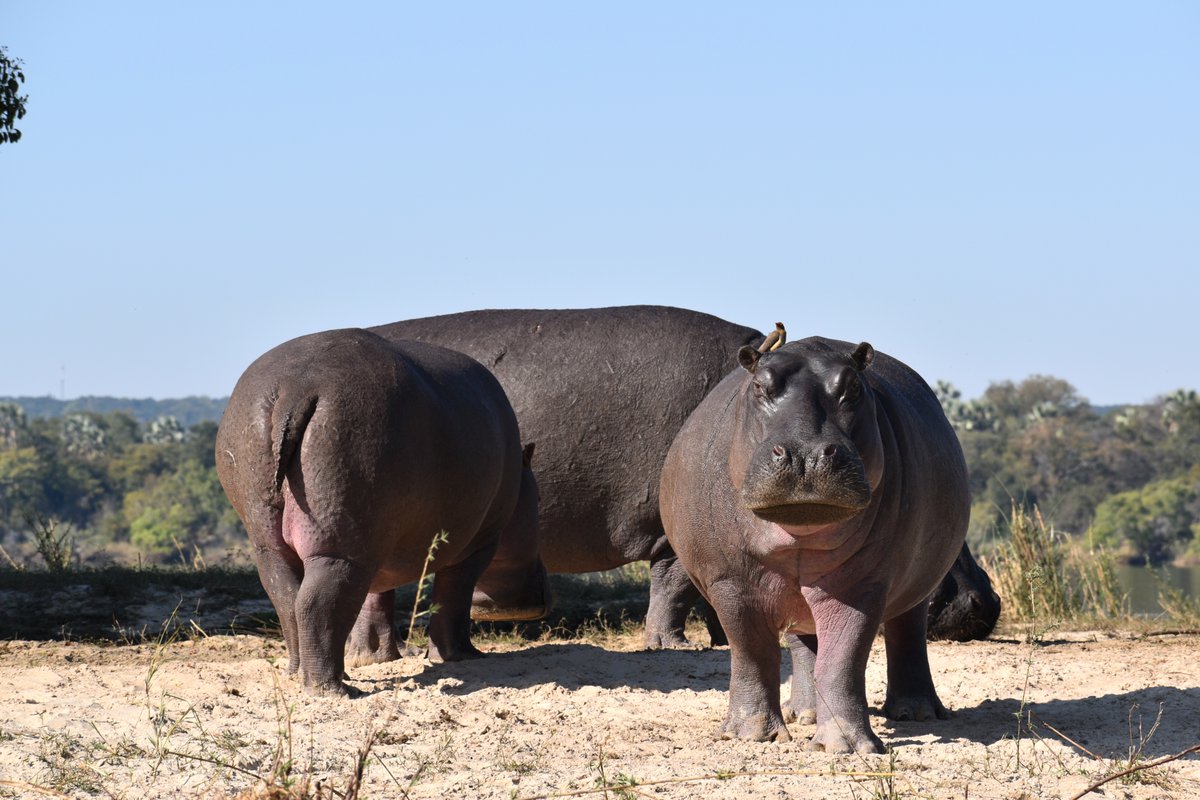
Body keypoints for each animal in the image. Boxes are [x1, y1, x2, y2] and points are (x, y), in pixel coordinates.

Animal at [215, 328, 527, 695]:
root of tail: (298, 385)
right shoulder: (479, 544)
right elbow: (453, 597)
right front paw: (461, 657)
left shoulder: (381, 547)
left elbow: (374, 599)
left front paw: (376, 657)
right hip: (345, 539)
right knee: (316, 602)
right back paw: (335, 690)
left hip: (274, 536)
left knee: (287, 597)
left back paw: (301, 675)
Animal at [660, 336, 970, 752]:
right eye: (759, 386)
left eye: (853, 387)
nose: (806, 452)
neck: (798, 535)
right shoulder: (730, 582)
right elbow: (752, 653)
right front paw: (751, 735)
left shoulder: (862, 584)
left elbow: (843, 659)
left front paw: (846, 746)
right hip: (791, 598)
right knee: (804, 645)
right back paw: (803, 713)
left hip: (918, 583)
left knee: (907, 633)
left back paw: (915, 713)